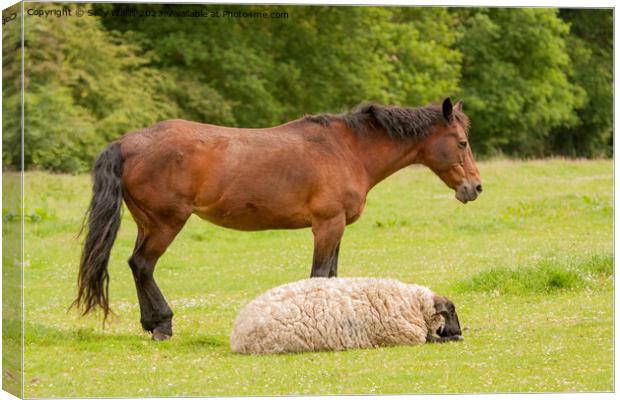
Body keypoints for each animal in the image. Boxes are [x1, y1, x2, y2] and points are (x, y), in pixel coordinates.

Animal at [72, 97, 480, 340]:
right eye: (461, 142)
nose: (475, 187)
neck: (347, 150)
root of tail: (127, 143)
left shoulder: (335, 228)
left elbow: (332, 277)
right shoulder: (327, 225)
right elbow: (320, 277)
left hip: (149, 223)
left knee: (136, 265)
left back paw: (153, 322)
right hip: (165, 223)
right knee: (143, 264)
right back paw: (162, 324)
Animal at [230, 276, 462, 354]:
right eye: (451, 311)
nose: (459, 330)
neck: (411, 303)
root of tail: (235, 334)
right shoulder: (404, 336)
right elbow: (433, 339)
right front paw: (457, 338)